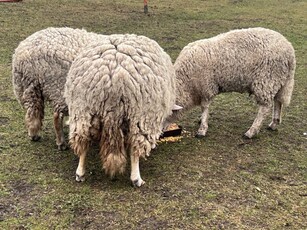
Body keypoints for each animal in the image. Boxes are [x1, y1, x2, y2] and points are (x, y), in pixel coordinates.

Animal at [63, 32, 177, 187]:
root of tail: (114, 79)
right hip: (140, 116)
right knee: (135, 148)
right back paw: (136, 179)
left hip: (82, 111)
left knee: (82, 141)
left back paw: (80, 173)